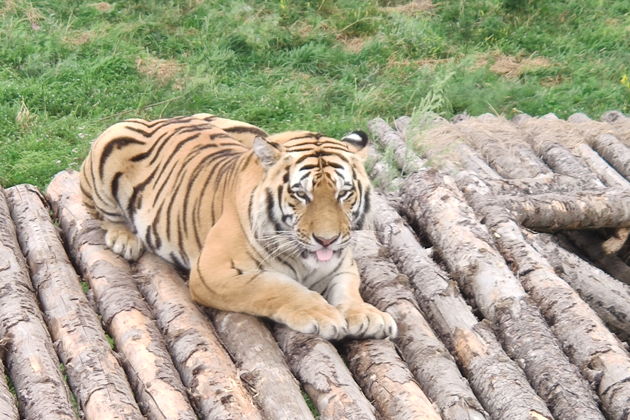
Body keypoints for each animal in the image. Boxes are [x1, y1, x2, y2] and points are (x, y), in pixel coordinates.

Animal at [78, 113, 396, 340]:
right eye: (301, 194)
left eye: (344, 193)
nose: (326, 240)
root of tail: (167, 118)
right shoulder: (212, 272)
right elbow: (277, 287)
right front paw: (322, 314)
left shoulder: (342, 264)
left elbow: (349, 289)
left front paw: (366, 315)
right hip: (111, 141)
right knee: (103, 213)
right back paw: (124, 239)